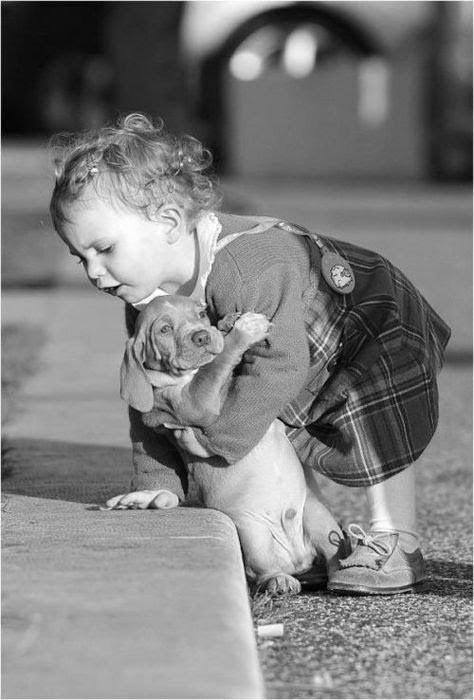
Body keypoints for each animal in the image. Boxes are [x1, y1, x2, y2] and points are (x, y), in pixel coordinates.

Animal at [111, 296, 340, 596]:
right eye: (164, 330)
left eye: (200, 313)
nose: (202, 336)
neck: (186, 377)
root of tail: (297, 559)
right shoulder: (194, 402)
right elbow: (216, 365)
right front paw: (242, 332)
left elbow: (219, 364)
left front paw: (228, 323)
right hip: (252, 530)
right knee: (261, 568)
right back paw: (278, 580)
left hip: (318, 516)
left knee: (333, 552)